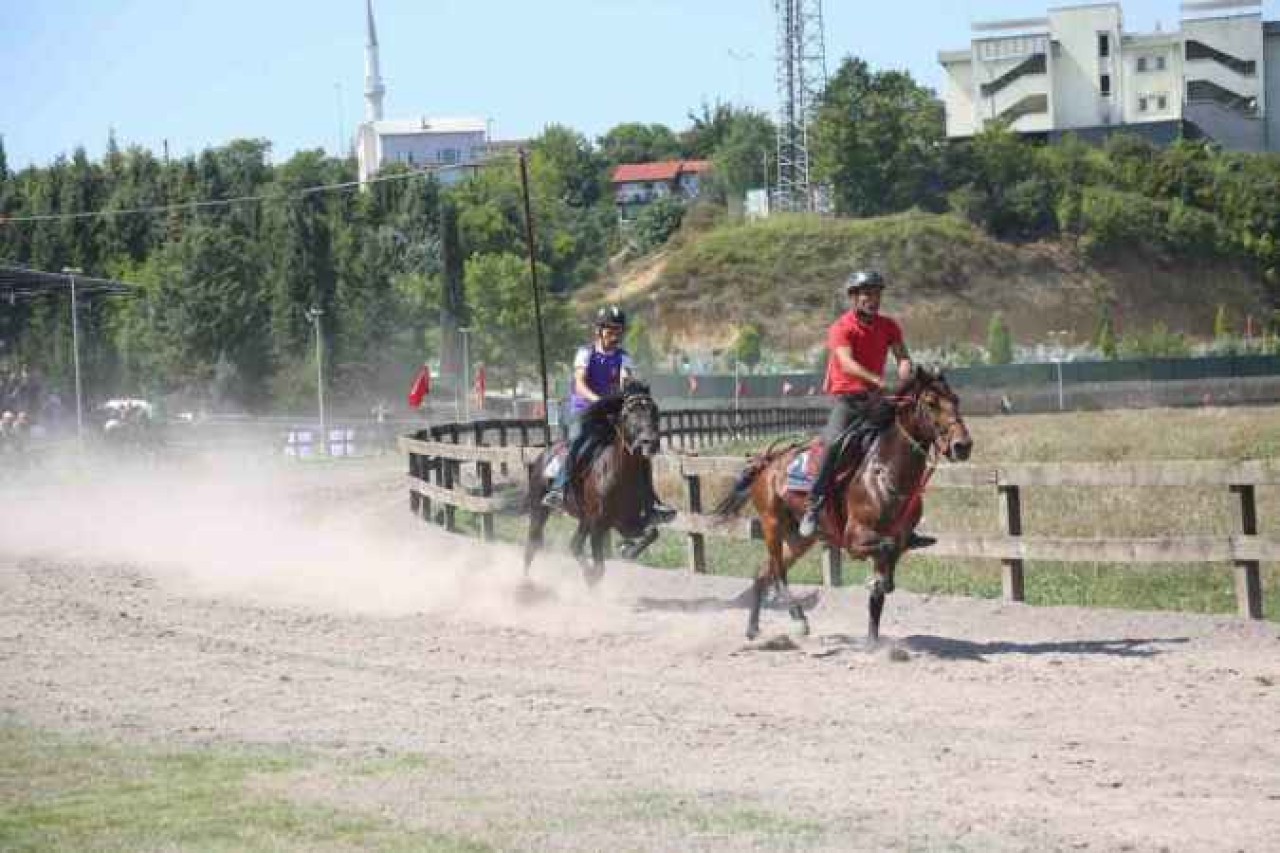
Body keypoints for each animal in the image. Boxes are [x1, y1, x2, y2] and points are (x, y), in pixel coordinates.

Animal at [522, 379, 665, 584]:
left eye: (654, 410)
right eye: (628, 413)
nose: (650, 442)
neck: (620, 477)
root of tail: (545, 454)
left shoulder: (627, 521)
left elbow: (652, 532)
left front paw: (627, 549)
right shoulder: (598, 525)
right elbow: (598, 567)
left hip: (584, 519)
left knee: (574, 545)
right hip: (539, 509)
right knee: (532, 545)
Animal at [716, 363, 972, 637]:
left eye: (956, 399)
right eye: (931, 402)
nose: (963, 445)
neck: (884, 472)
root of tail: (768, 464)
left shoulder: (900, 536)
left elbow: (885, 577)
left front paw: (874, 639)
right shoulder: (855, 539)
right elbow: (886, 550)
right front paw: (880, 582)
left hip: (798, 538)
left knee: (763, 572)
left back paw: (753, 628)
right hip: (771, 523)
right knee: (778, 571)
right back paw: (797, 616)